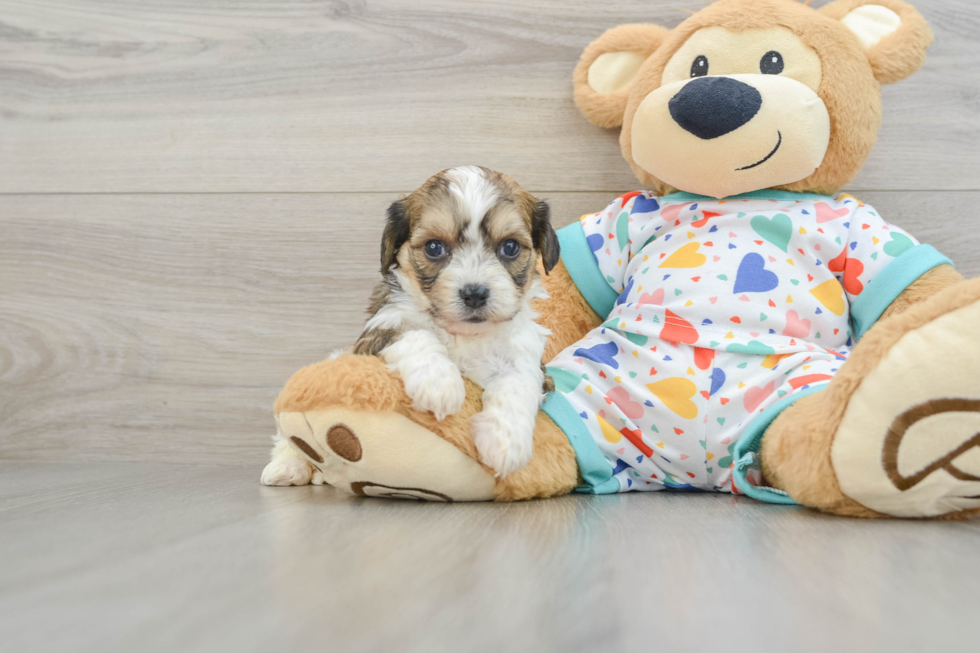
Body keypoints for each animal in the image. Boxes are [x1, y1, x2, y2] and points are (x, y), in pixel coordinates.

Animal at [354, 166, 564, 476]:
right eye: (434, 247)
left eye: (510, 247)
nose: (474, 294)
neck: (464, 334)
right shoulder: (380, 328)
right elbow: (415, 334)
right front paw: (438, 382)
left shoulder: (525, 357)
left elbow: (517, 384)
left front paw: (506, 441)